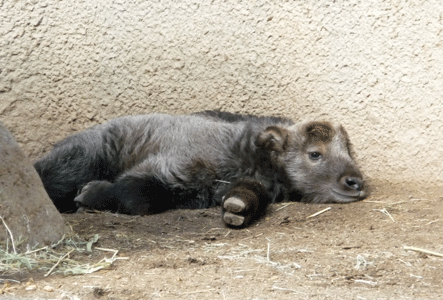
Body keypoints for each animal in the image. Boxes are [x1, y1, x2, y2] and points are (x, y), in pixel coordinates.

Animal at [33, 110, 368, 227]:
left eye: (348, 150)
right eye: (314, 154)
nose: (356, 182)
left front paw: (238, 209)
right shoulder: (170, 165)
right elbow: (136, 194)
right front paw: (91, 195)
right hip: (79, 160)